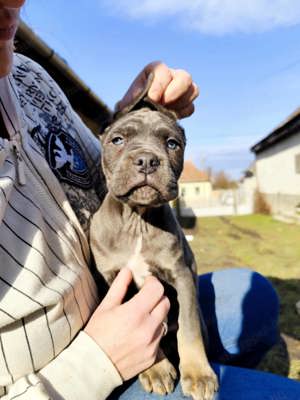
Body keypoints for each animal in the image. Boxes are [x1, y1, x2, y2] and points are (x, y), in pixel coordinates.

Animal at [89, 79, 218, 400]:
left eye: (172, 144)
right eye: (118, 140)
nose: (147, 160)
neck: (137, 220)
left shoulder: (181, 275)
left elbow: (188, 327)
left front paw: (198, 373)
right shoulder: (115, 280)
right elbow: (143, 333)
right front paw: (156, 369)